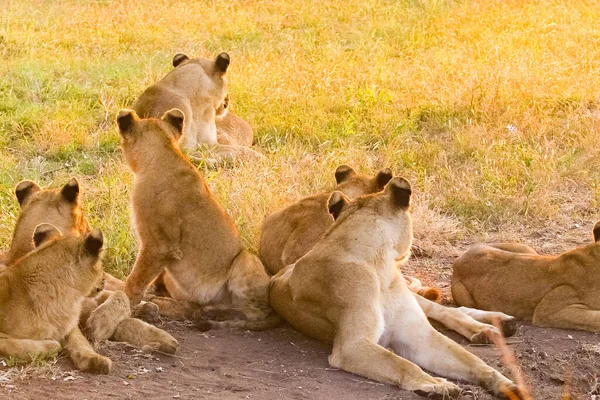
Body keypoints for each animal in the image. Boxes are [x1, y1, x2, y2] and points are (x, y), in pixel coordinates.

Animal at [0, 223, 112, 374]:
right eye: (101, 264)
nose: (105, 279)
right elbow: (16, 346)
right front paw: (51, 344)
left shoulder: (69, 325)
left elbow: (80, 341)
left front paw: (95, 360)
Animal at [117, 108, 278, 330]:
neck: (164, 154)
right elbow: (155, 277)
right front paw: (154, 294)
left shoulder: (158, 245)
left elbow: (135, 280)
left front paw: (124, 305)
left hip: (246, 259)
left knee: (256, 314)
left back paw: (213, 316)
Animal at [270, 180, 524, 398]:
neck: (380, 264)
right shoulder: (352, 345)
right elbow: (402, 363)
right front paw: (434, 384)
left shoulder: (418, 335)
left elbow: (471, 360)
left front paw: (508, 384)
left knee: (448, 311)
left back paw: (491, 326)